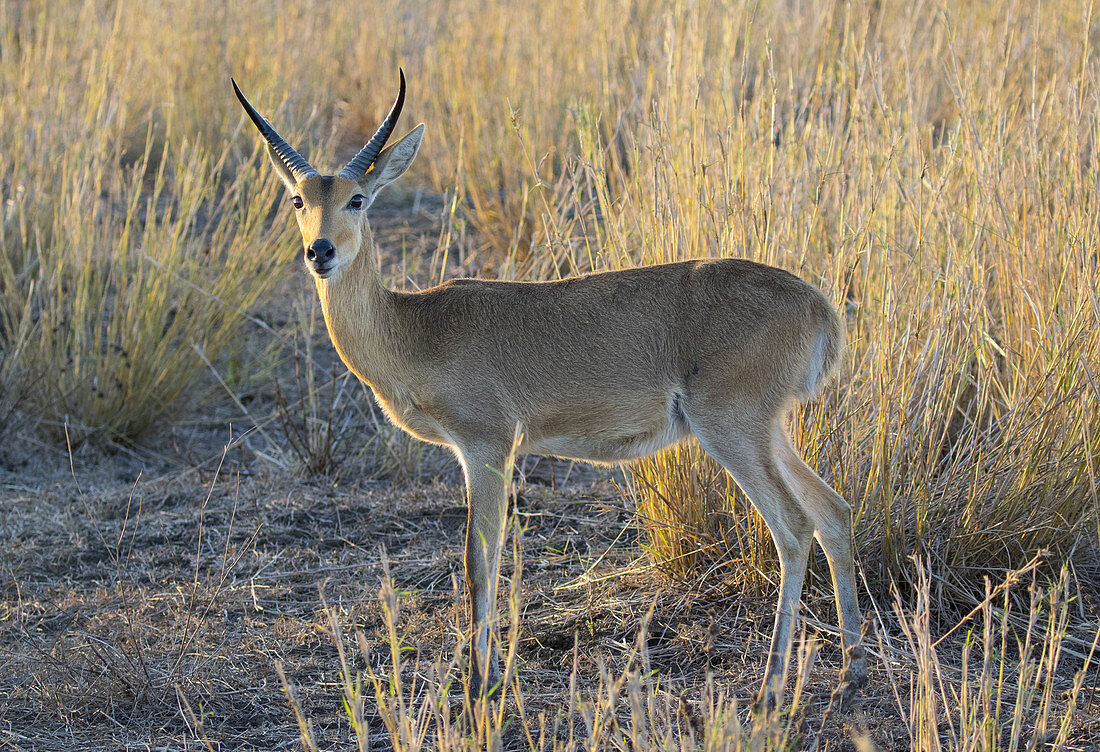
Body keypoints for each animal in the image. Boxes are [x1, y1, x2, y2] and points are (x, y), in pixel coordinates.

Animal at [232, 72, 866, 712]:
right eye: (298, 200)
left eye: (357, 198)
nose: (321, 252)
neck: (416, 327)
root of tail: (818, 305)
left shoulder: (486, 447)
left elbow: (479, 559)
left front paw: (480, 686)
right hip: (768, 430)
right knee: (832, 511)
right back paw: (851, 671)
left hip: (731, 428)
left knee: (794, 527)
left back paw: (770, 691)